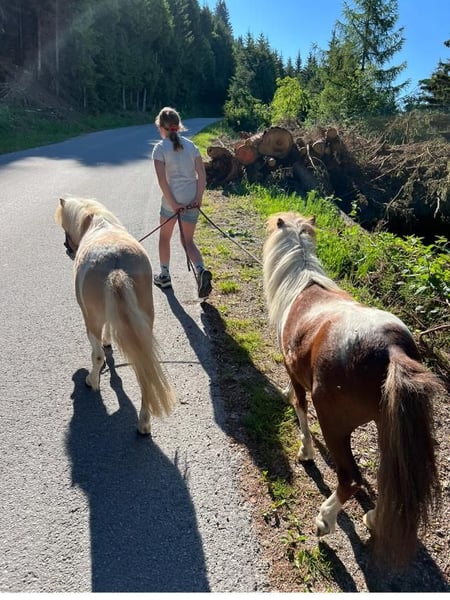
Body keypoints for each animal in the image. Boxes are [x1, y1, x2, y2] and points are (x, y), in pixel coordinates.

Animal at [55, 196, 176, 435]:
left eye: (65, 229)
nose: (66, 249)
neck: (97, 223)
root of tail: (115, 264)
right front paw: (109, 342)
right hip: (145, 323)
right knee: (144, 365)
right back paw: (144, 423)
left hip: (91, 320)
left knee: (98, 356)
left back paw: (92, 381)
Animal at [262, 211, 443, 567]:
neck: (303, 284)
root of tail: (391, 349)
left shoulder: (295, 375)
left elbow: (300, 408)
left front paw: (306, 451)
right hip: (389, 427)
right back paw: (373, 518)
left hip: (335, 424)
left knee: (351, 479)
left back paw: (325, 520)